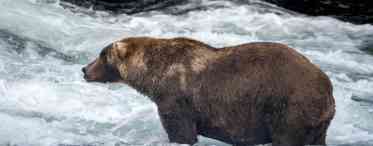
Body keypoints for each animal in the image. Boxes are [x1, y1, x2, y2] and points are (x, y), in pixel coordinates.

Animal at [83, 36, 336, 146]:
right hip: (315, 124)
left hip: (289, 108)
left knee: (286, 138)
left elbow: (181, 132)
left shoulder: (176, 97)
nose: (84, 69)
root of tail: (327, 87)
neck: (154, 74)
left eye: (101, 55)